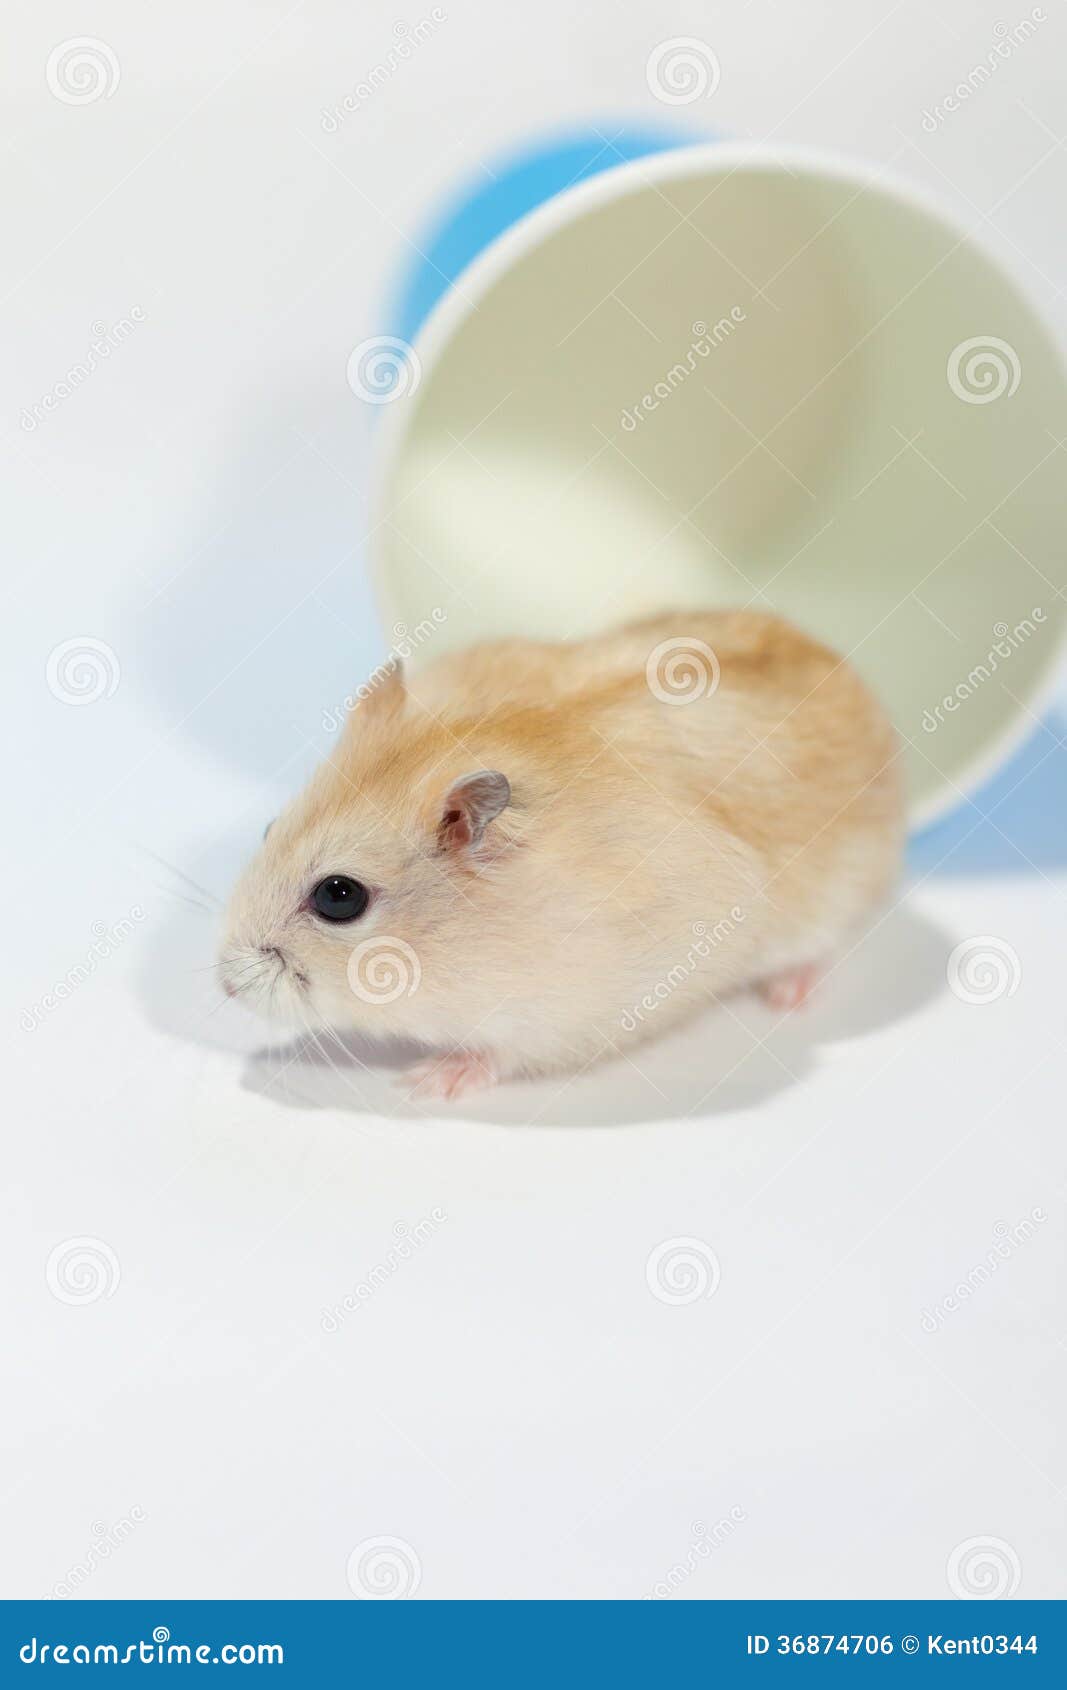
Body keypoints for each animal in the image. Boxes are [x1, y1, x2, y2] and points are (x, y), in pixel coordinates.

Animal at [219, 610, 904, 1101]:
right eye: (269, 827)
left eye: (339, 897)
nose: (225, 986)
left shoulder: (574, 1011)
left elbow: (500, 1050)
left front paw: (426, 1082)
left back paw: (789, 995)